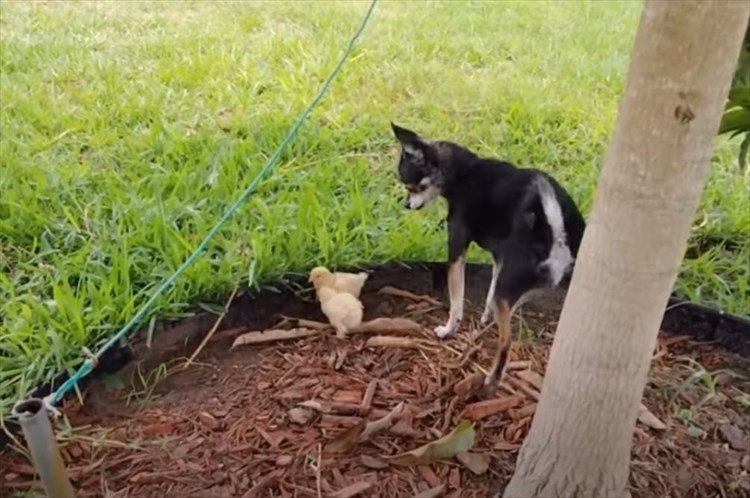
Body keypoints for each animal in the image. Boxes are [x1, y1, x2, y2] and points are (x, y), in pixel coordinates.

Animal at [394, 122, 588, 388]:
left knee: (507, 342)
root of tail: (556, 232)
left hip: (509, 289)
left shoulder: (457, 249)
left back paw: (492, 379)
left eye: (411, 186)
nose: (406, 205)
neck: (465, 173)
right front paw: (485, 318)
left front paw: (449, 329)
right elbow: (489, 291)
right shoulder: (500, 259)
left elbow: (456, 300)